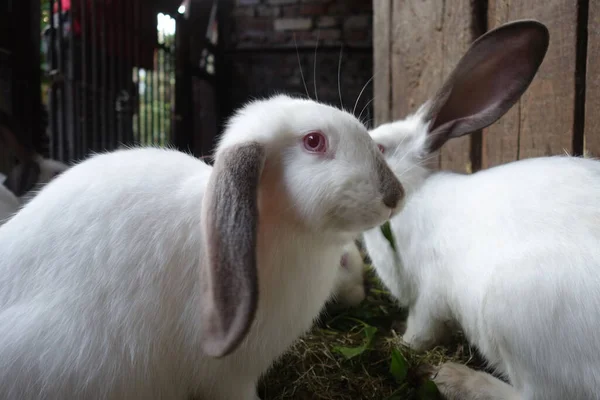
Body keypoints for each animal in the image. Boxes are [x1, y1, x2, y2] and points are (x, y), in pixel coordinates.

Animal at [360, 19, 600, 400]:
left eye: (379, 148)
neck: (413, 191)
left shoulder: (430, 298)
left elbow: (421, 332)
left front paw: (399, 342)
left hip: (513, 311)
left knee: (537, 394)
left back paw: (452, 377)